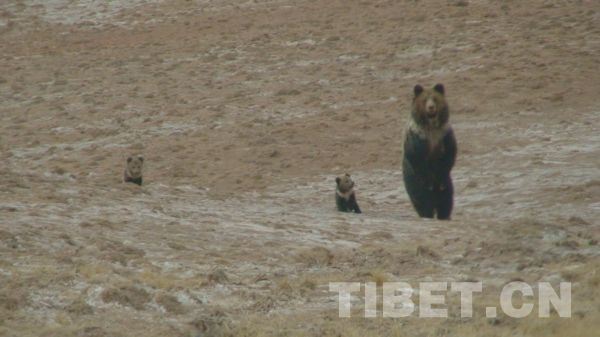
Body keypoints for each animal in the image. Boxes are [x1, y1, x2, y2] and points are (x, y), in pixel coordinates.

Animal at [404, 83, 460, 219]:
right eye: (424, 100)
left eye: (435, 98)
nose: (431, 107)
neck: (431, 127)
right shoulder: (418, 139)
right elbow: (416, 158)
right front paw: (428, 182)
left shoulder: (444, 135)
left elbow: (449, 155)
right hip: (412, 183)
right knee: (423, 202)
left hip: (447, 188)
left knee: (446, 200)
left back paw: (444, 215)